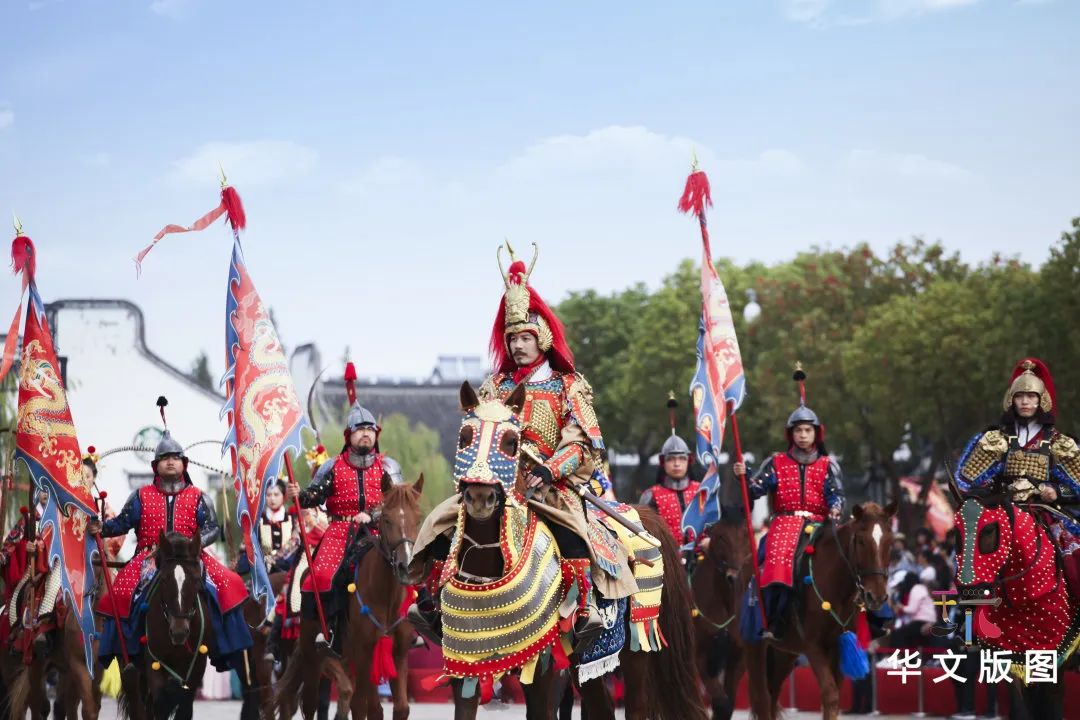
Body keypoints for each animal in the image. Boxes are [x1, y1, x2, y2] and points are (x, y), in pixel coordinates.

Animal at [276, 472, 423, 720]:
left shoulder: (398, 653)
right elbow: (369, 708)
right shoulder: (365, 653)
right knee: (311, 703)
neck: (386, 597)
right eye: (386, 519)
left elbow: (400, 708)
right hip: (312, 653)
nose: (405, 567)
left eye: (418, 520)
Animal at [743, 500, 894, 720]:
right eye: (861, 541)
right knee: (762, 697)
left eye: (890, 542)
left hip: (785, 652)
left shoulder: (839, 645)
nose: (876, 596)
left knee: (773, 691)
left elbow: (835, 696)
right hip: (754, 645)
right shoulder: (814, 646)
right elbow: (830, 694)